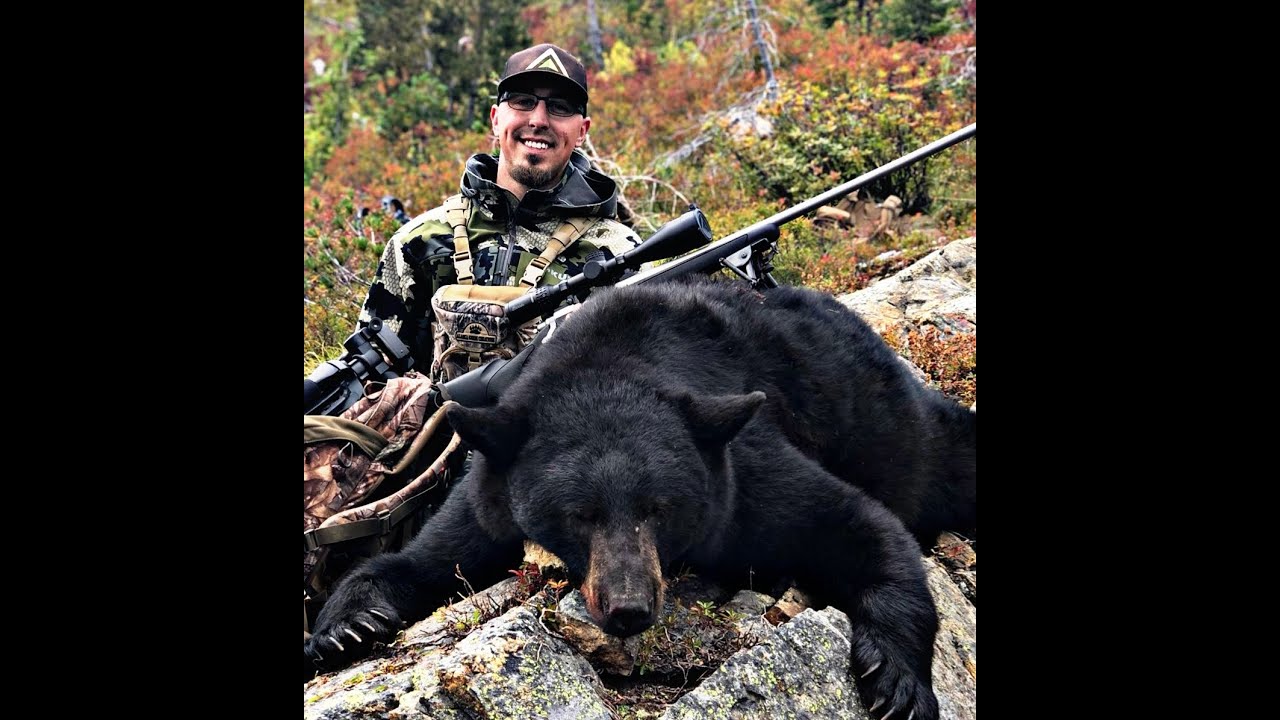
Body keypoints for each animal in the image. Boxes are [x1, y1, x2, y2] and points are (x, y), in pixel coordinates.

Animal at [304, 277, 977, 720]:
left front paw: (897, 682)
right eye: (579, 515)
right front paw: (345, 627)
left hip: (899, 426)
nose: (628, 608)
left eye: (660, 508)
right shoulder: (495, 484)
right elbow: (425, 559)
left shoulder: (739, 471)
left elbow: (860, 525)